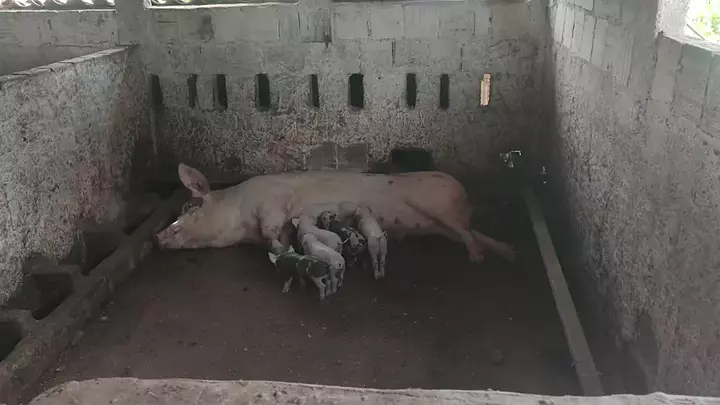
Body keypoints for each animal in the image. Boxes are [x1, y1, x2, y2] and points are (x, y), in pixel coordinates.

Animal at [156, 164, 515, 264]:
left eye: (189, 207)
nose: (158, 235)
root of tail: (465, 195)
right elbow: (279, 235)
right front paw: (287, 250)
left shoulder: (272, 201)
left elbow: (272, 227)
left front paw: (279, 249)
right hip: (437, 224)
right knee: (474, 232)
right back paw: (506, 252)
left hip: (437, 205)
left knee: (468, 232)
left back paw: (477, 258)